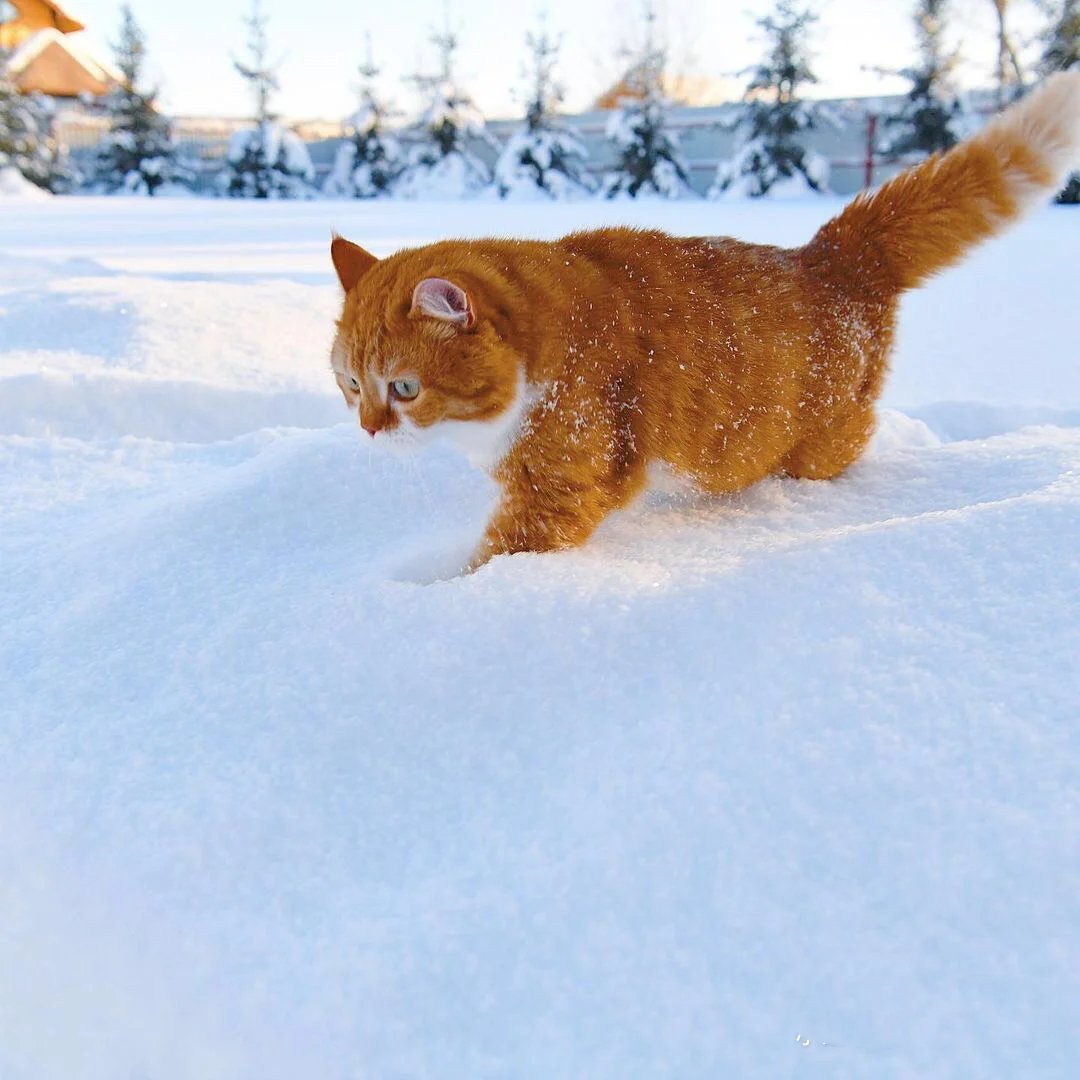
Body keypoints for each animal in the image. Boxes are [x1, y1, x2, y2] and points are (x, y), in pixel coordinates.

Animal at [328, 70, 1080, 570]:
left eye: (404, 388)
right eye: (351, 386)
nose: (367, 430)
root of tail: (830, 252)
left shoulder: (558, 490)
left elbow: (493, 560)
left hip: (819, 439)